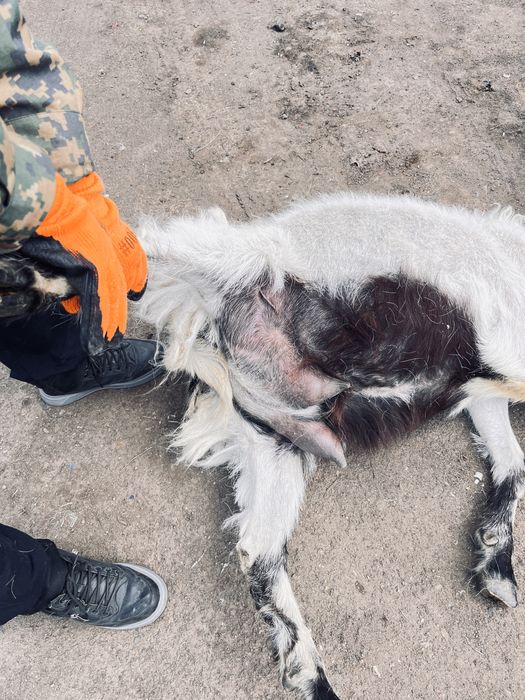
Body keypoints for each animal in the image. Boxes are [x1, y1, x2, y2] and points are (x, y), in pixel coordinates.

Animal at [138, 192, 525, 699]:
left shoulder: (485, 389)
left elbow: (511, 459)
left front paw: (496, 566)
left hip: (279, 439)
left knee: (258, 550)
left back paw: (310, 674)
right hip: (237, 259)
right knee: (147, 240)